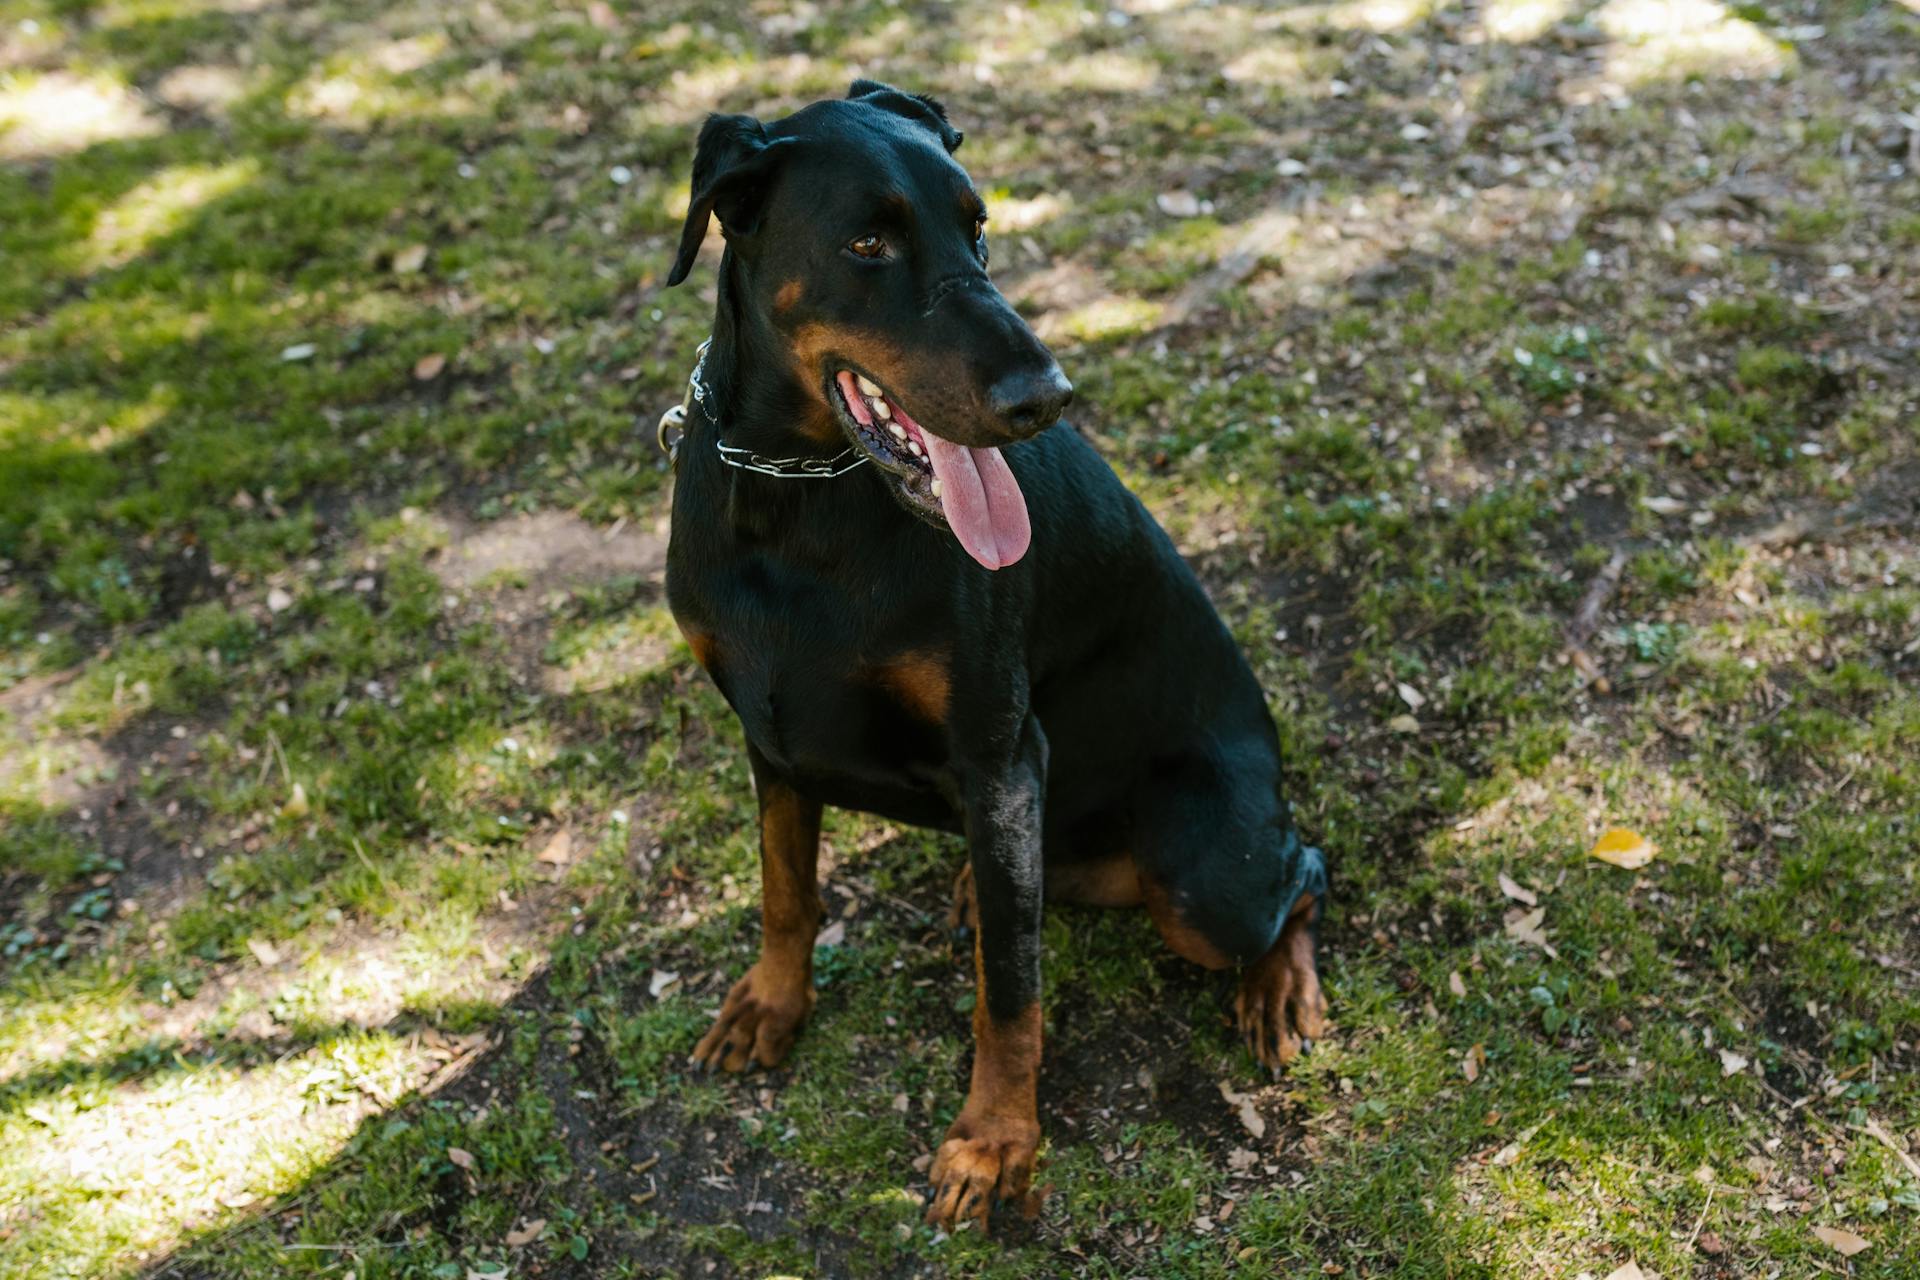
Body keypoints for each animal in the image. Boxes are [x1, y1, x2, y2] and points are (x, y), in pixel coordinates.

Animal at [660, 80, 1320, 1228]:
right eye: (868, 242)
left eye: (977, 226)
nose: (1044, 398)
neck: (796, 502)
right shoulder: (768, 737)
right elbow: (787, 889)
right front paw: (771, 1005)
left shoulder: (1000, 752)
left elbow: (1009, 990)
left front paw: (993, 1142)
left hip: (1209, 876)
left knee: (1299, 879)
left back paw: (1278, 986)